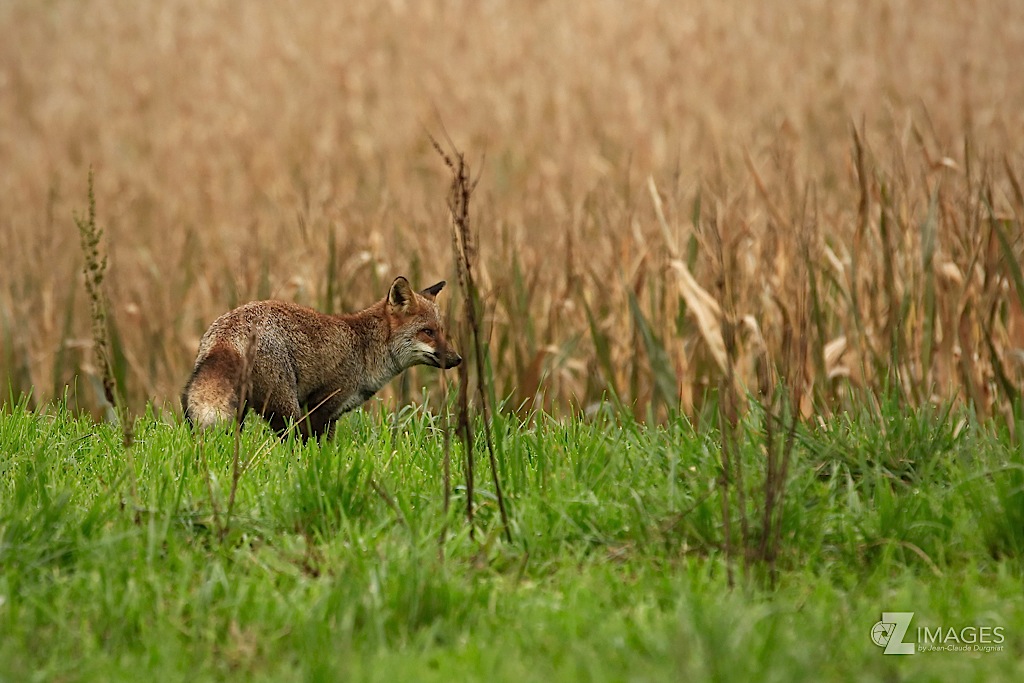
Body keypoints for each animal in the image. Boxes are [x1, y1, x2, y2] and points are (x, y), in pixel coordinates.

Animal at [181, 276, 461, 440]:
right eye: (428, 332)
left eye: (442, 331)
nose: (457, 359)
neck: (363, 349)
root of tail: (231, 327)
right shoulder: (322, 406)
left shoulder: (332, 415)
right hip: (285, 408)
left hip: (236, 409)